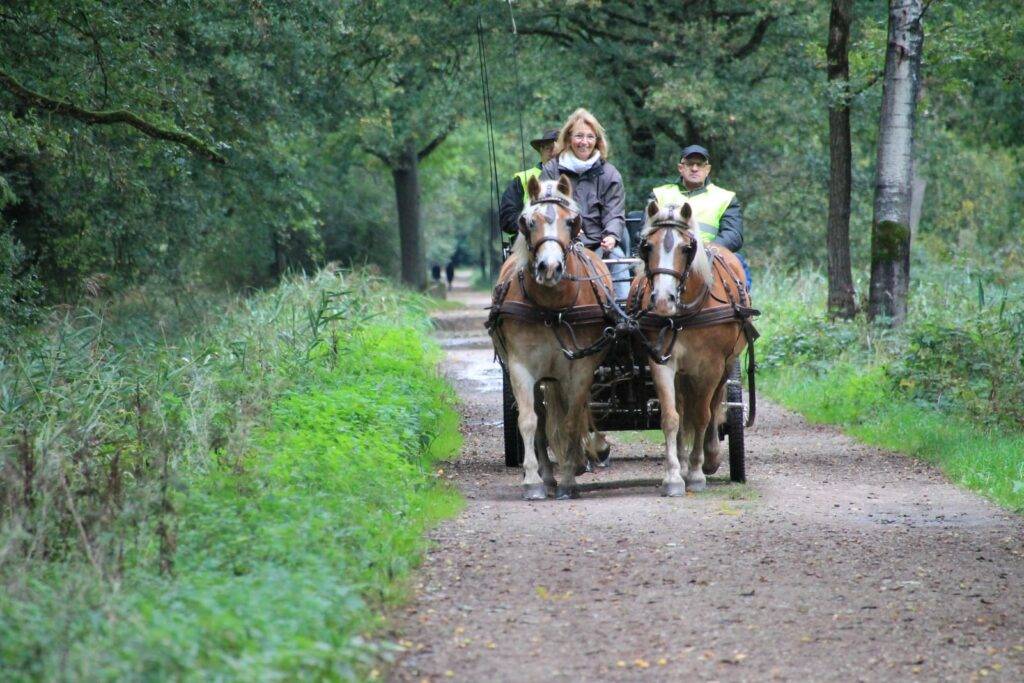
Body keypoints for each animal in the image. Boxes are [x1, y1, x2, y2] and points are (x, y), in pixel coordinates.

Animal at [488, 175, 616, 500]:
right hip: (543, 377)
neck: (553, 307)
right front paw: (533, 481)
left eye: (571, 221)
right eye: (527, 221)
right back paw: (547, 475)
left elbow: (570, 421)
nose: (550, 268)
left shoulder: (581, 369)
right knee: (542, 419)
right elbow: (529, 421)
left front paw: (570, 478)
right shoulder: (520, 368)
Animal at [628, 200, 755, 495]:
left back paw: (710, 457)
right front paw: (674, 476)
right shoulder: (662, 362)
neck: (683, 315)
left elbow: (702, 416)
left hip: (723, 366)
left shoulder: (710, 367)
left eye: (686, 248)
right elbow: (672, 417)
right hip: (684, 374)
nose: (664, 300)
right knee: (684, 408)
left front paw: (697, 473)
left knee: (714, 405)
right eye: (647, 246)